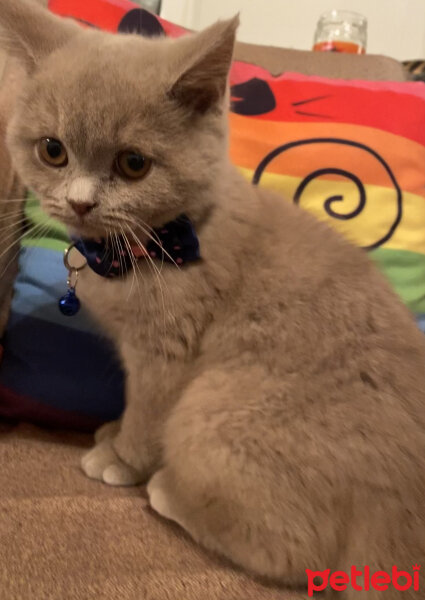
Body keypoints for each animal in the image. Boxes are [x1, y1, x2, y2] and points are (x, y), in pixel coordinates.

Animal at [0, 0, 424, 596]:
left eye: (133, 164)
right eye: (52, 150)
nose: (80, 203)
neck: (164, 239)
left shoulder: (166, 353)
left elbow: (146, 412)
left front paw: (123, 458)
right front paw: (113, 433)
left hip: (212, 411)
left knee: (295, 552)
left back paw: (166, 492)